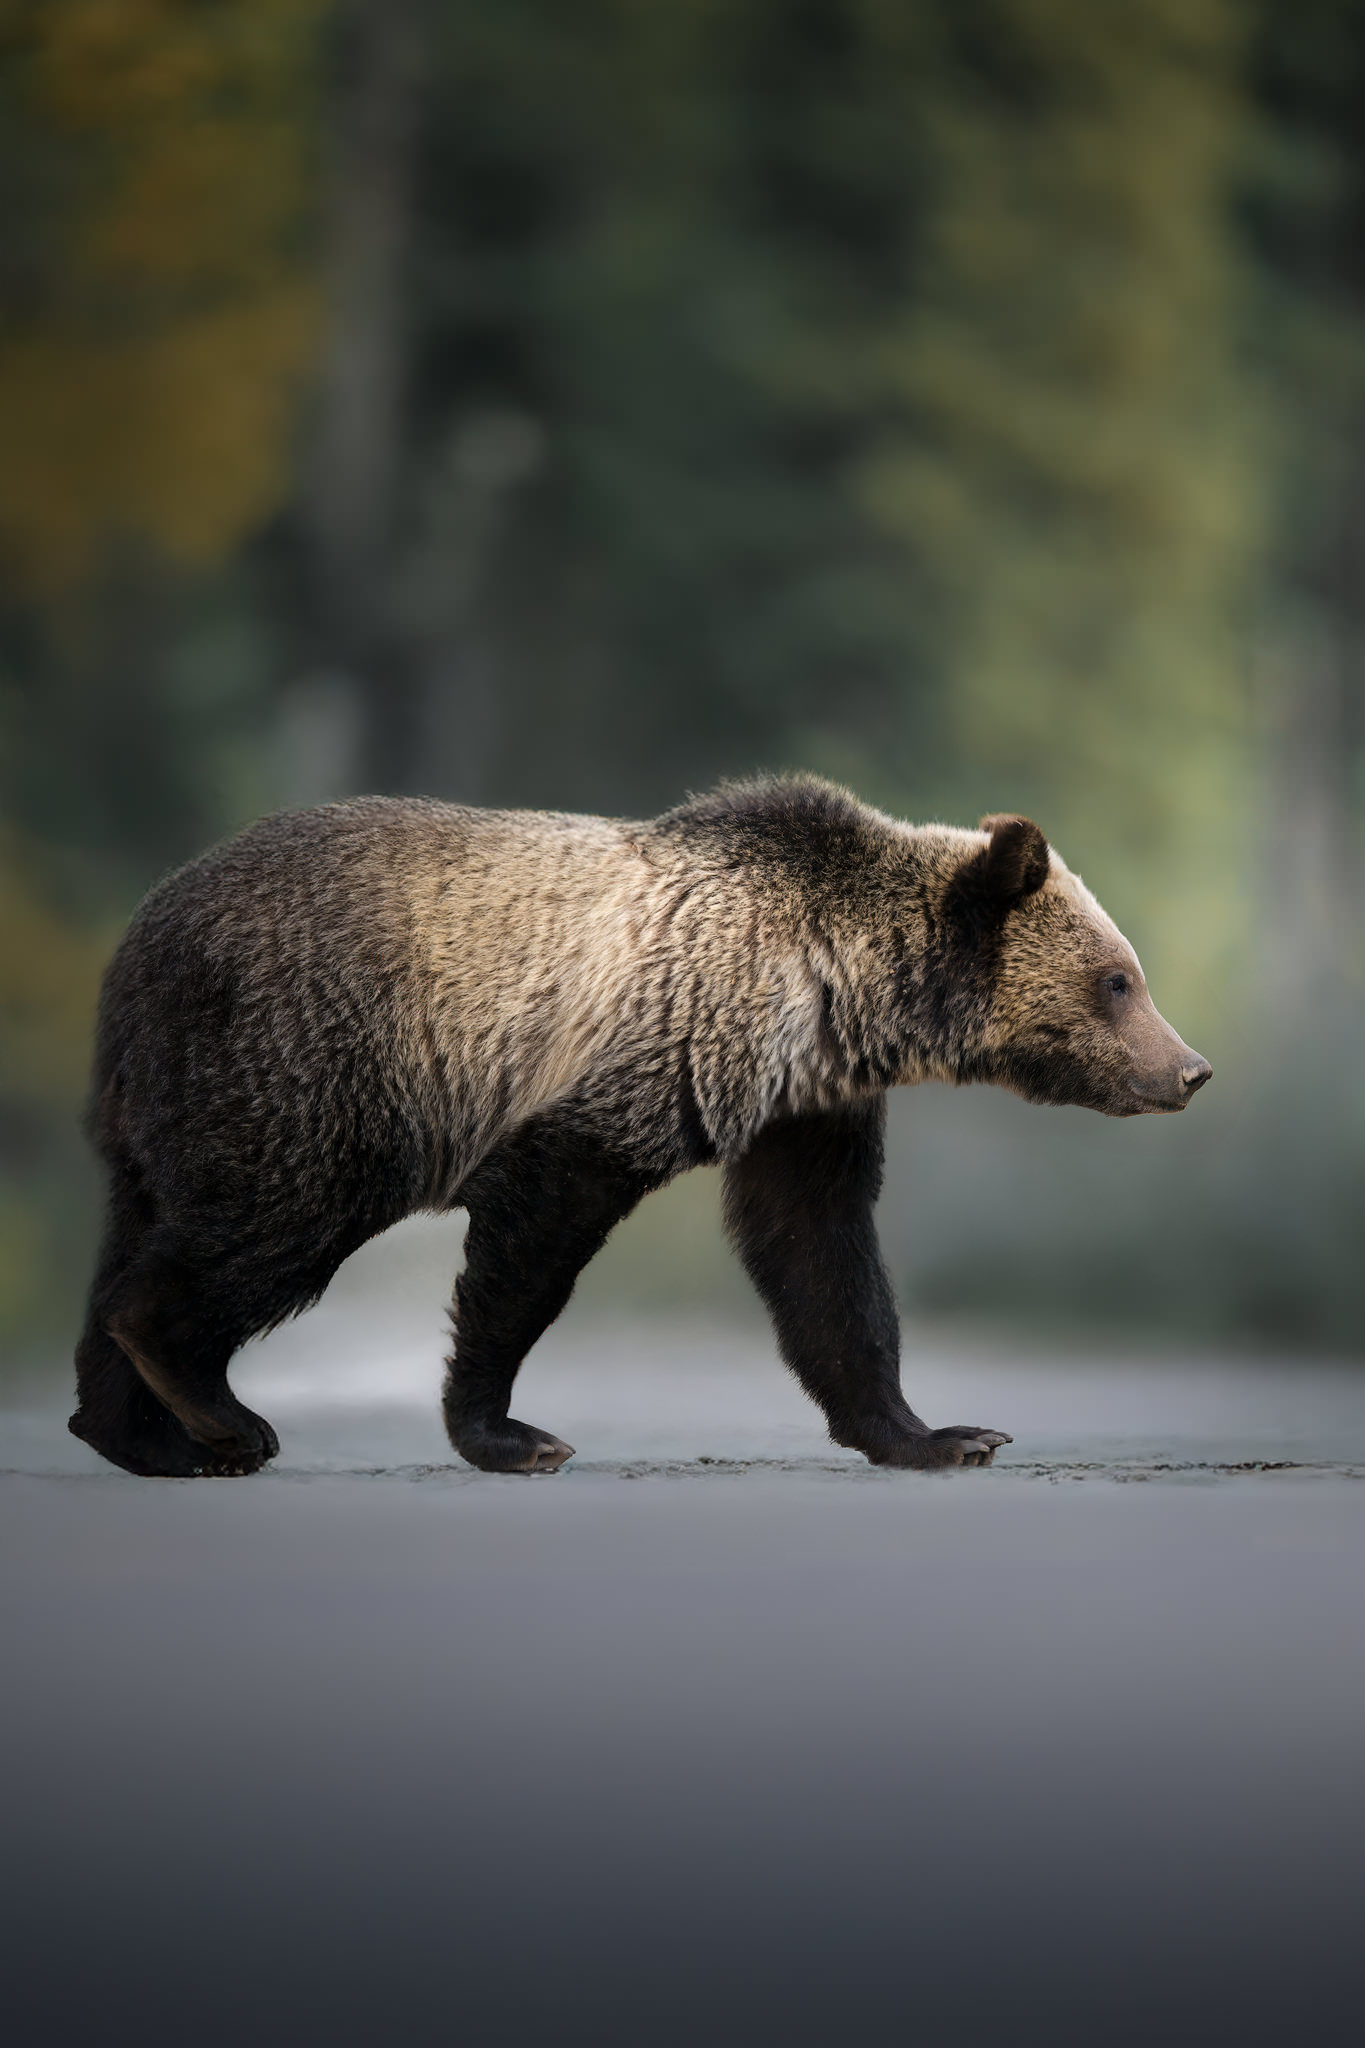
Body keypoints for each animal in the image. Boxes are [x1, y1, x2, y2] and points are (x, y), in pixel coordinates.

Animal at [69, 775, 1211, 1478]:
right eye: (1118, 979)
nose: (1190, 1069)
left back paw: (143, 1434)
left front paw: (941, 1433)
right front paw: (510, 1431)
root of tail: (136, 941)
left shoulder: (802, 1106)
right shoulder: (647, 1059)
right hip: (314, 1060)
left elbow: (823, 1258)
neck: (831, 990)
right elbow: (534, 1241)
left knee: (140, 1227)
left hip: (173, 1099)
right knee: (269, 1221)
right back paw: (220, 1410)